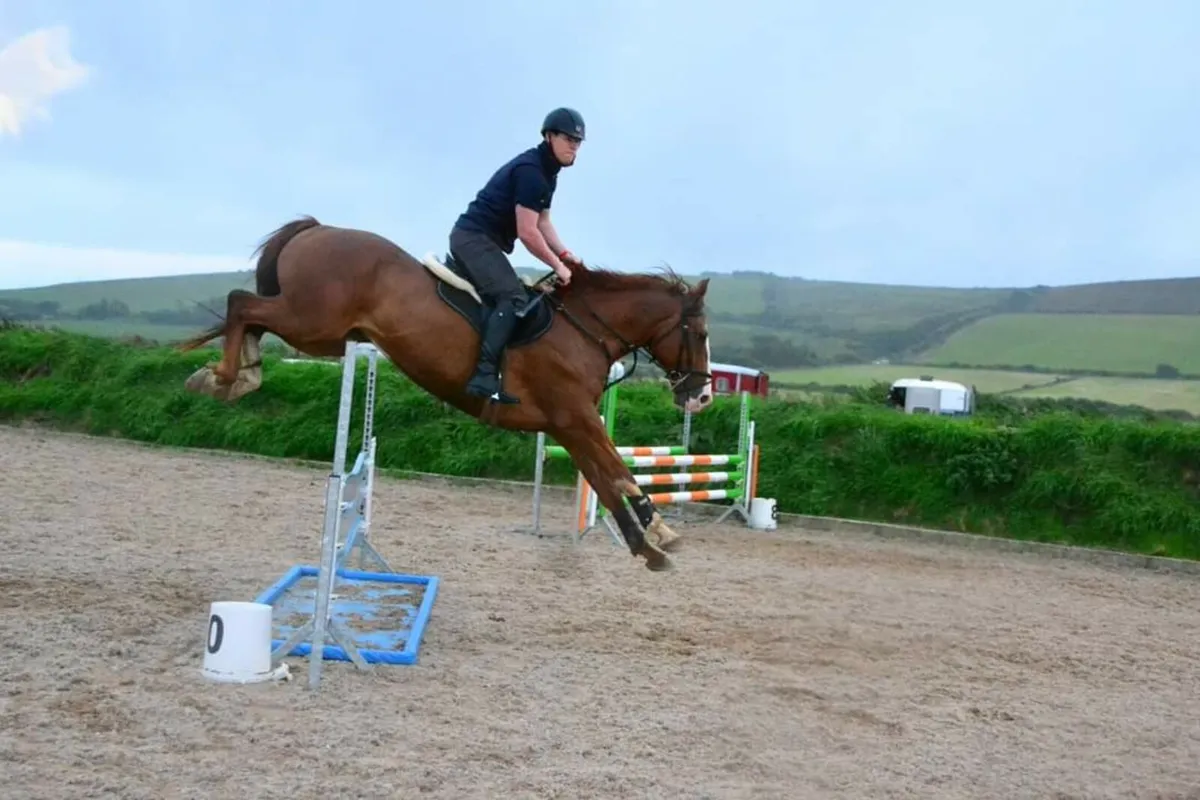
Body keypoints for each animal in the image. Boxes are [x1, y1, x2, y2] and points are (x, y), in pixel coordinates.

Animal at [177, 216, 714, 571]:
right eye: (701, 333)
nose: (702, 397)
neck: (585, 329)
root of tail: (318, 228)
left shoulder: (569, 425)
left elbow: (606, 479)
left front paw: (650, 540)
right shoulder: (576, 418)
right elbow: (617, 472)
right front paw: (656, 535)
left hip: (322, 331)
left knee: (250, 312)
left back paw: (235, 374)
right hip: (313, 322)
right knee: (242, 304)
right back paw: (225, 377)